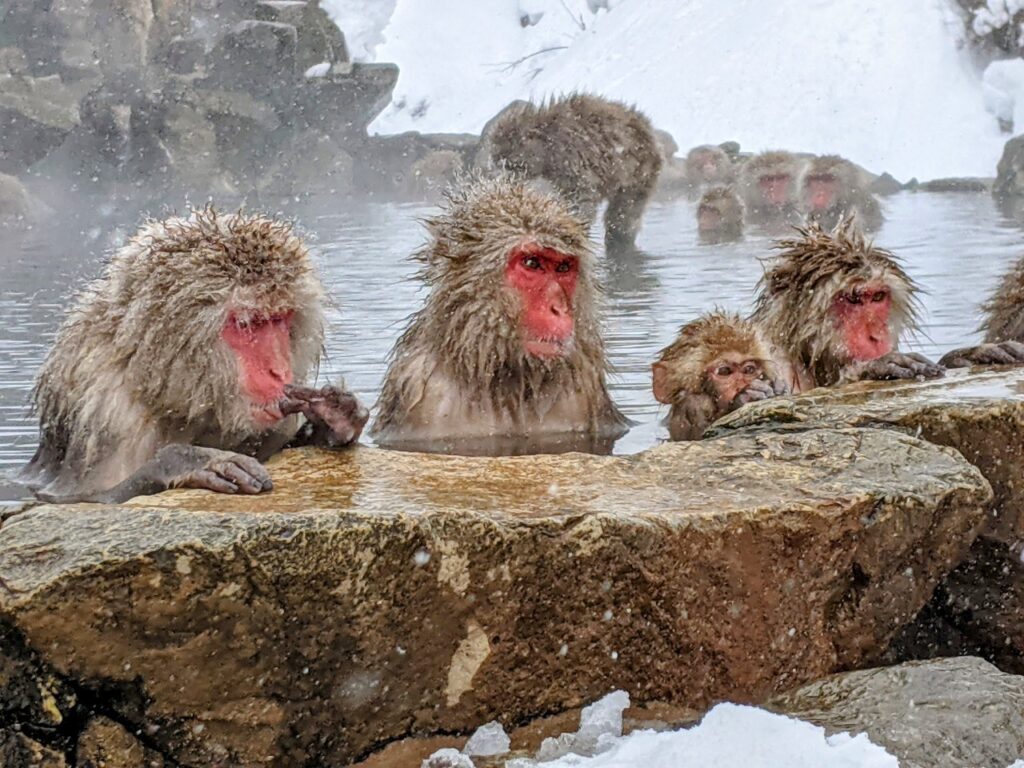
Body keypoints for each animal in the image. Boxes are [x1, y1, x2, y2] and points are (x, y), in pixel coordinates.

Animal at [22, 208, 368, 504]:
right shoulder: (109, 418)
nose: (279, 372)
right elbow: (89, 499)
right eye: (247, 324)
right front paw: (190, 461)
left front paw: (334, 415)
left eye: (278, 319)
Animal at [485, 93, 662, 250]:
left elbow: (582, 200)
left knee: (625, 210)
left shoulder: (570, 160)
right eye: (497, 159)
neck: (547, 148)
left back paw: (619, 238)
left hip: (639, 171)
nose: (502, 179)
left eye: (508, 162)